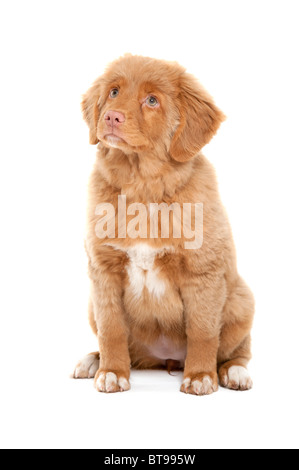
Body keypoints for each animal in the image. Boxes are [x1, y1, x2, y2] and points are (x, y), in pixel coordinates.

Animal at [74, 53, 254, 394]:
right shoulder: (103, 271)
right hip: (91, 305)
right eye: (114, 92)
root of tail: (165, 359)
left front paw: (201, 376)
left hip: (242, 301)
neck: (143, 187)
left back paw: (233, 372)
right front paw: (112, 372)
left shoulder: (202, 272)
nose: (112, 117)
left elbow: (202, 331)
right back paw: (92, 362)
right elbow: (111, 329)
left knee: (236, 349)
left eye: (152, 100)